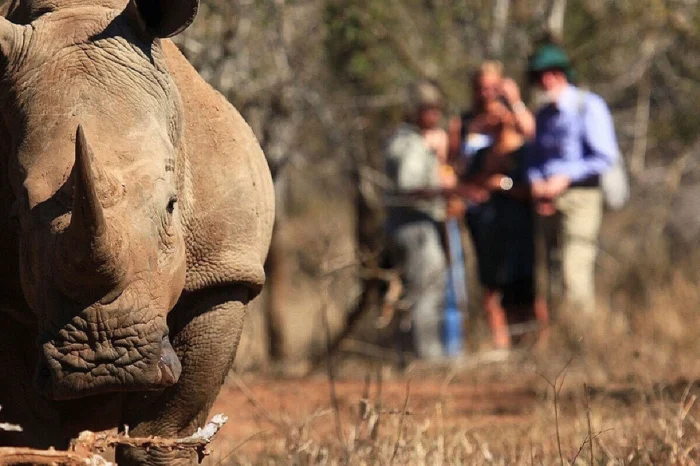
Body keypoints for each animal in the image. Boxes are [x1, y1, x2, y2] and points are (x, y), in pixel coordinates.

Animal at [0, 0, 274, 463]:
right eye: (16, 215)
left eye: (172, 205)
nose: (105, 365)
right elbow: (31, 432)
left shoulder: (224, 270)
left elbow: (166, 429)